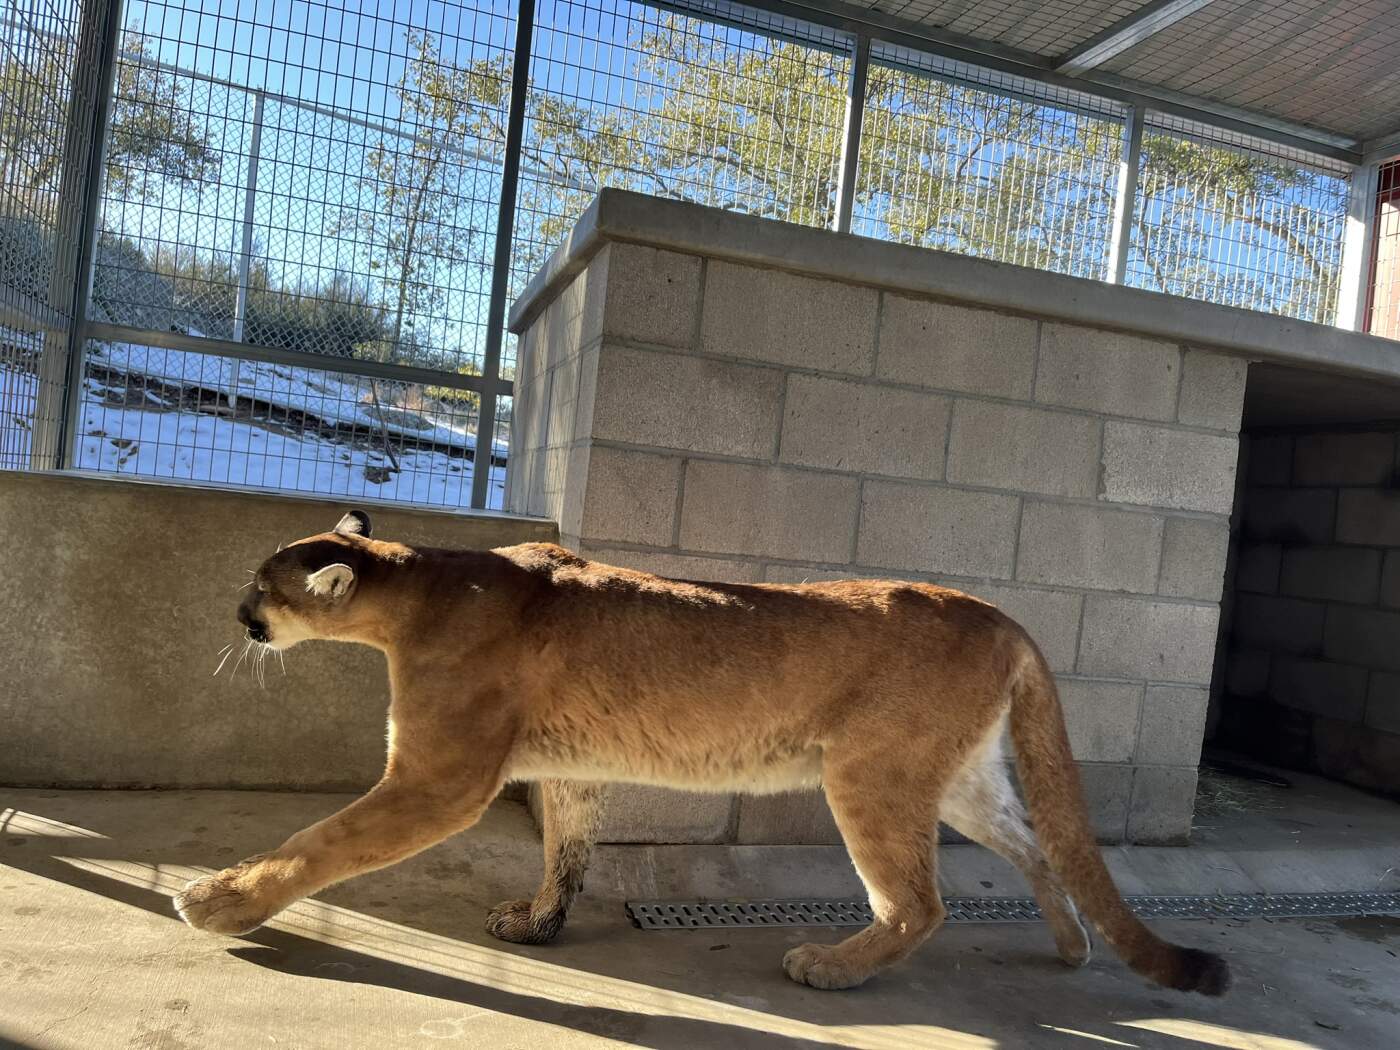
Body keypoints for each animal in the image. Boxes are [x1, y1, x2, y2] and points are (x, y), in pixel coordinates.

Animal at [174, 510, 1229, 995]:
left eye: (260, 585)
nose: (234, 613)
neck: (415, 588)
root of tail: (1005, 615)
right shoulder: (569, 766)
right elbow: (567, 850)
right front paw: (538, 922)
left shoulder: (439, 779)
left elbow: (319, 843)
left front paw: (219, 902)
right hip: (958, 776)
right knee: (1036, 842)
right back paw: (1071, 946)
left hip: (871, 773)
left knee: (919, 902)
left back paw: (831, 968)